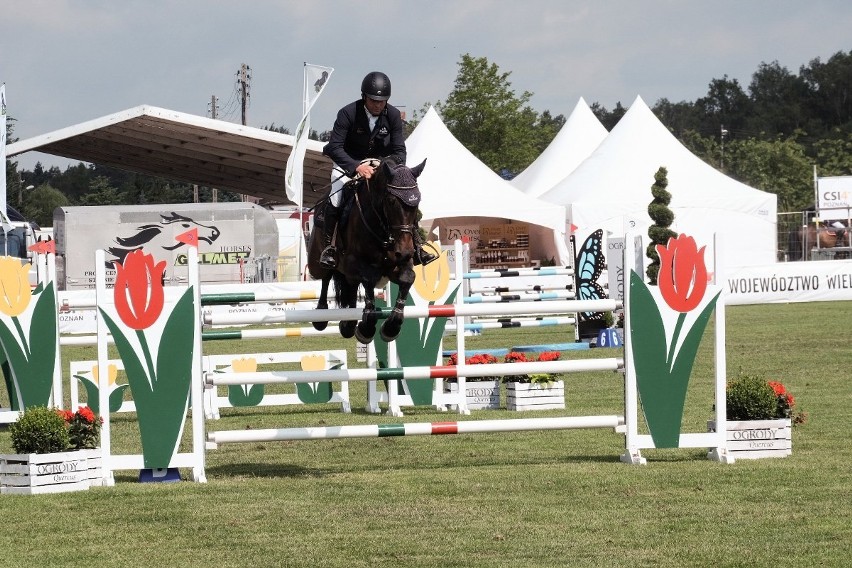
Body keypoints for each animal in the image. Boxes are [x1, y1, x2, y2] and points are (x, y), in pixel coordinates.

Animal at [306, 158, 426, 344]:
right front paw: (366, 328)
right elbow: (369, 281)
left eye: (417, 202)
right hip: (317, 262)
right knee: (326, 277)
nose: (405, 251)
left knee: (351, 287)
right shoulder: (357, 264)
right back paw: (321, 315)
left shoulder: (397, 265)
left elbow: (407, 278)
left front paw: (391, 327)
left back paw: (347, 324)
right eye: (391, 201)